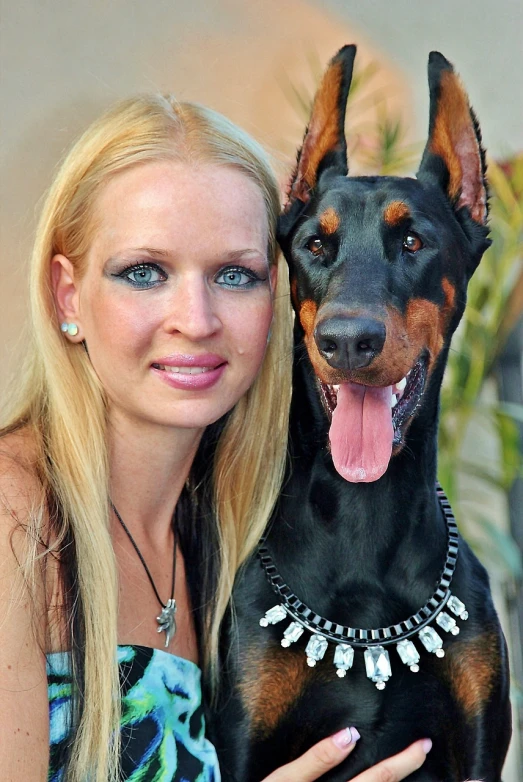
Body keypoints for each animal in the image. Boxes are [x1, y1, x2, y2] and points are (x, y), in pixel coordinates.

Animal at [212, 47, 512, 782]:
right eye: (316, 247)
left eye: (412, 242)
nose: (347, 341)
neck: (362, 512)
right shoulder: (240, 742)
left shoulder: (480, 744)